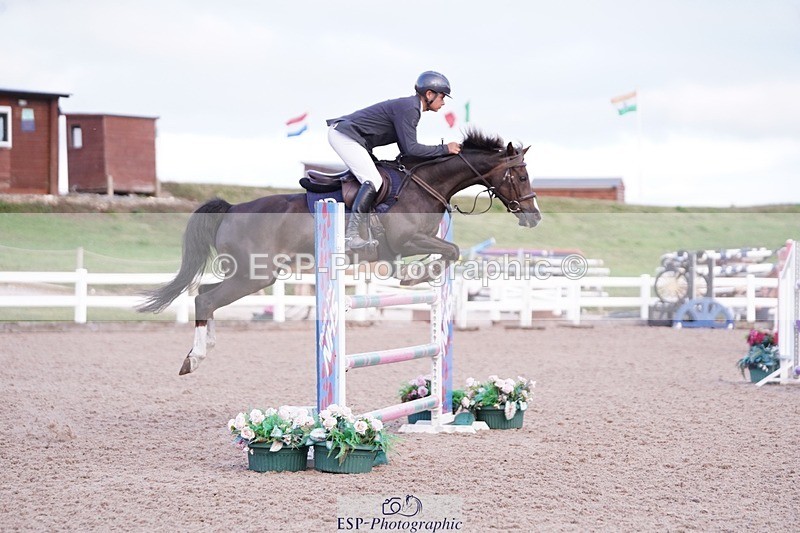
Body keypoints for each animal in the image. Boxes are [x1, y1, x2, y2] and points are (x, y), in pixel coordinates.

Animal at [137, 129, 542, 375]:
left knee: (205, 294)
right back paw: (196, 357)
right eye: (521, 176)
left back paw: (203, 347)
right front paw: (416, 277)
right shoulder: (408, 241)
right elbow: (451, 250)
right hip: (254, 274)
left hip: (247, 273)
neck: (424, 184)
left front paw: (414, 275)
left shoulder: (404, 247)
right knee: (205, 299)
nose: (534, 216)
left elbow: (446, 252)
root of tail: (233, 209)